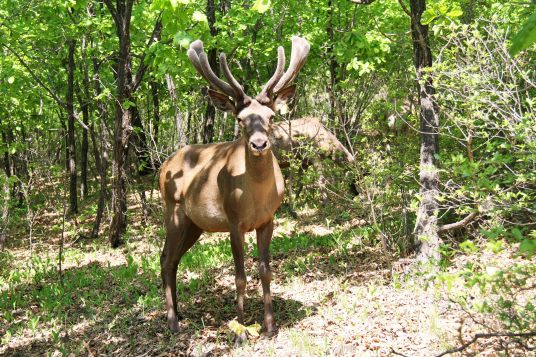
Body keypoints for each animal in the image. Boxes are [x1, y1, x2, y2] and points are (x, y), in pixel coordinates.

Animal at [159, 36, 310, 340]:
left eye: (271, 116)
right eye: (240, 119)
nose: (259, 144)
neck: (256, 197)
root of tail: (162, 166)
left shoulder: (268, 220)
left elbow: (265, 270)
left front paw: (270, 326)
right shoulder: (233, 221)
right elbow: (239, 276)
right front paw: (240, 329)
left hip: (194, 224)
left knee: (172, 258)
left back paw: (179, 313)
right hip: (173, 212)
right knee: (166, 259)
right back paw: (172, 322)